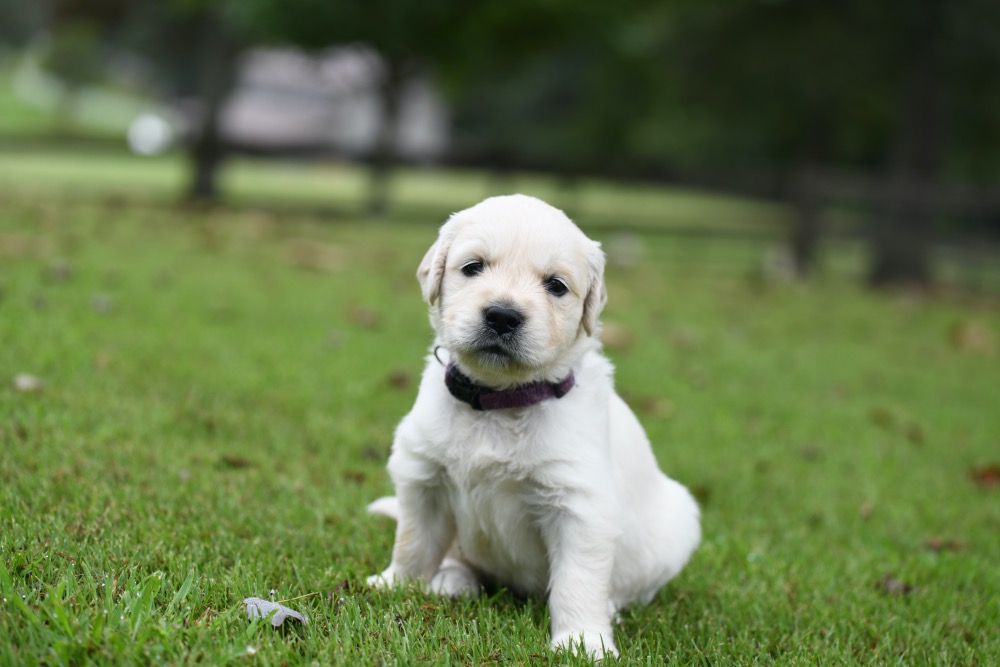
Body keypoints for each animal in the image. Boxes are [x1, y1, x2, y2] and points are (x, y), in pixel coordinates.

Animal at [364, 196, 700, 660]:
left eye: (556, 285)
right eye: (473, 267)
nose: (502, 316)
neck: (500, 400)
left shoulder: (579, 506)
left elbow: (577, 580)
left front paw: (583, 642)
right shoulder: (423, 476)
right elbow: (414, 541)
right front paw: (398, 584)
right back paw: (451, 580)